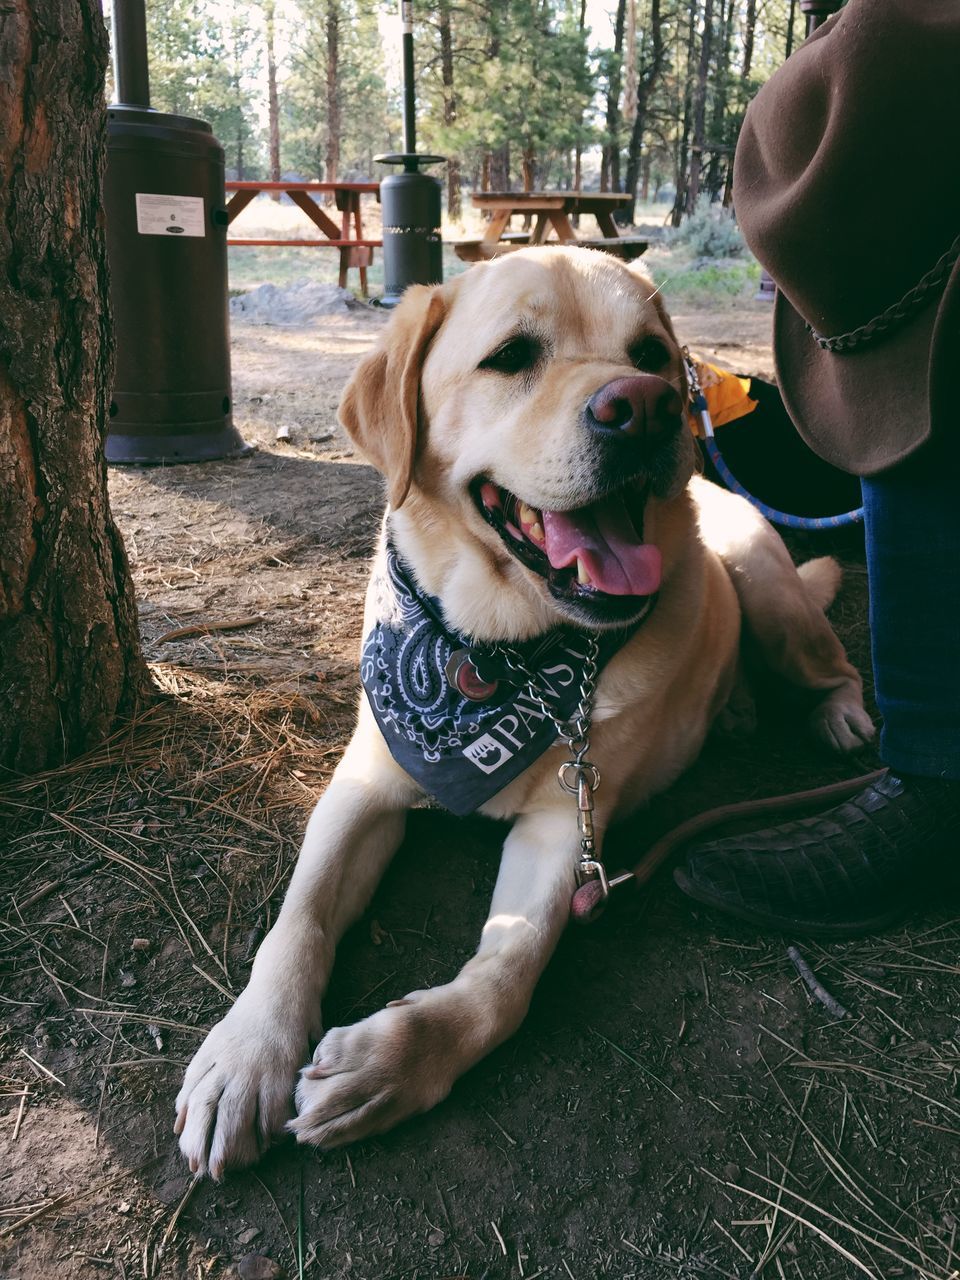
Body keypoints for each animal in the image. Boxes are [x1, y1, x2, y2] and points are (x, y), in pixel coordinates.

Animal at [176, 244, 875, 1172]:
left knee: (831, 661)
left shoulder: (564, 827)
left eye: (652, 354)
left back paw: (837, 714)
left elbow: (506, 977)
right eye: (511, 356)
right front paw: (246, 1053)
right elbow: (298, 920)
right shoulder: (364, 784)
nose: (645, 407)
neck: (492, 654)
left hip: (770, 592)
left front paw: (394, 1063)